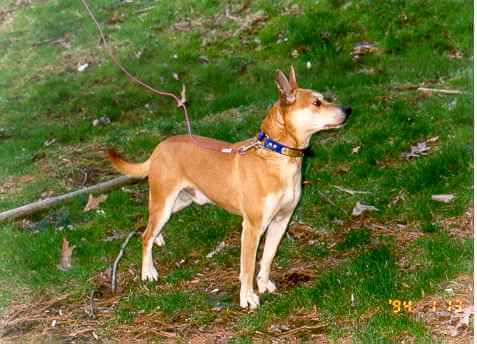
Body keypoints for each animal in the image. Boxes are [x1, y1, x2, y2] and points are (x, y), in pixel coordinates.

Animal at [108, 67, 350, 310]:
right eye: (317, 102)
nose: (348, 110)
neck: (278, 155)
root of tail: (159, 147)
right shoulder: (252, 227)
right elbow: (248, 267)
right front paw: (248, 297)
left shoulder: (281, 220)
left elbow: (268, 258)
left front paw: (263, 284)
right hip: (164, 201)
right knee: (145, 235)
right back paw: (148, 271)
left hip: (181, 201)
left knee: (150, 228)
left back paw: (158, 238)